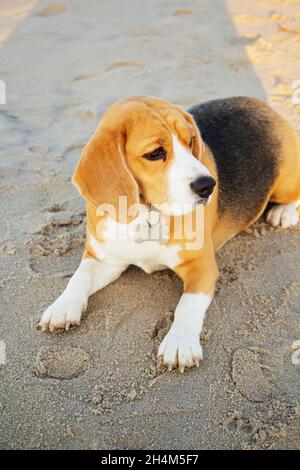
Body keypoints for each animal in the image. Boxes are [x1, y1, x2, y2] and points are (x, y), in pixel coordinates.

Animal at [39, 95, 300, 372]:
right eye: (154, 153)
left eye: (191, 141)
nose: (208, 186)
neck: (148, 214)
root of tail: (261, 103)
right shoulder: (104, 258)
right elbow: (78, 278)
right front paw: (62, 307)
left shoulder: (202, 266)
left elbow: (187, 304)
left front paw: (180, 341)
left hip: (285, 181)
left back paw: (284, 212)